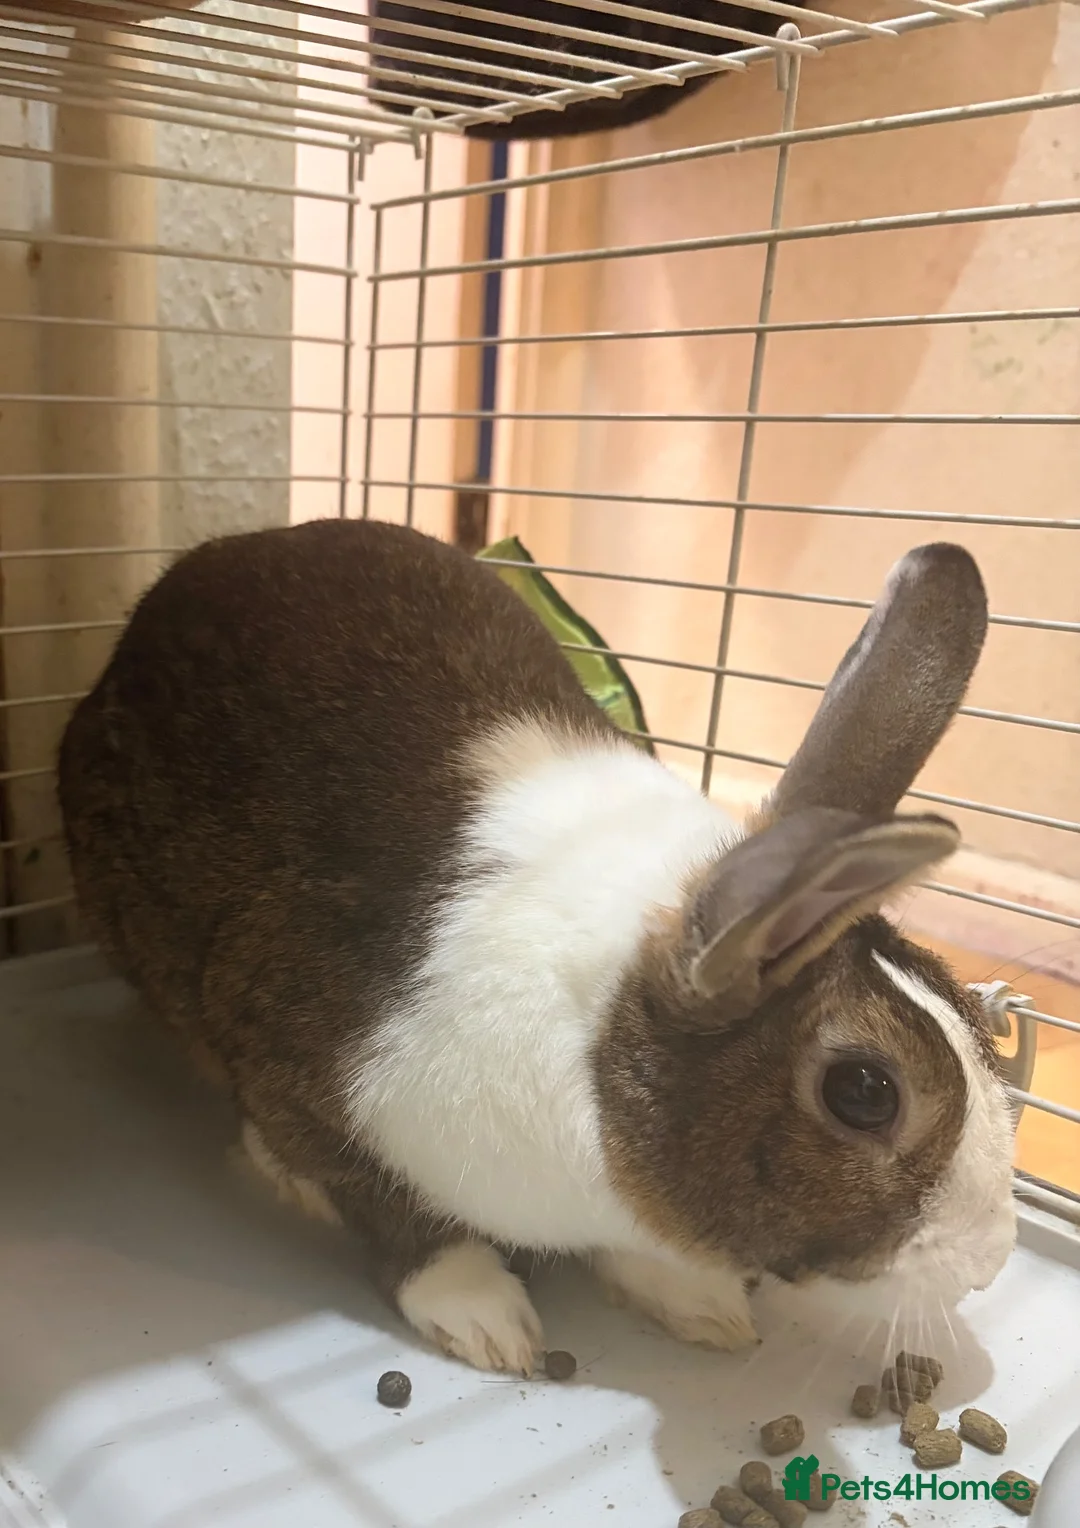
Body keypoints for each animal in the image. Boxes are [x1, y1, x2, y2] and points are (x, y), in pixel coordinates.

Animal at [58, 521, 1017, 1374]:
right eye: (865, 1092)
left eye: (961, 1000)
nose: (990, 1266)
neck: (598, 1052)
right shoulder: (304, 1076)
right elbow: (395, 1216)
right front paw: (485, 1320)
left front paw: (697, 1303)